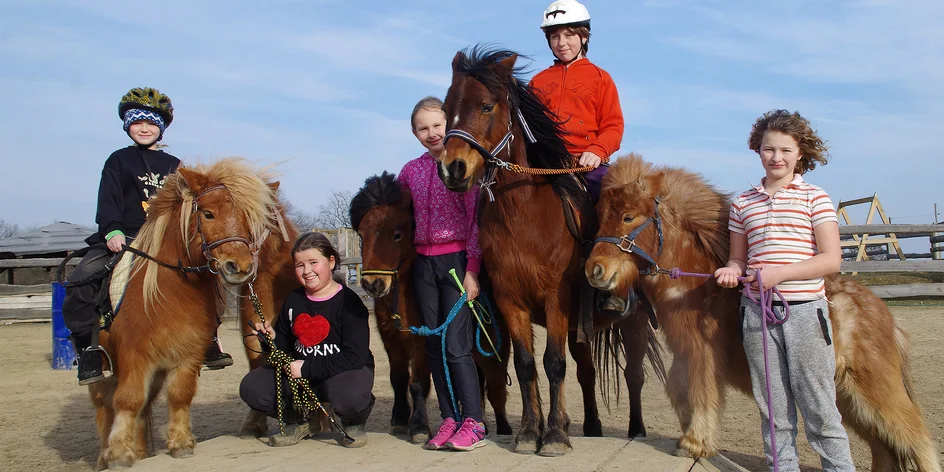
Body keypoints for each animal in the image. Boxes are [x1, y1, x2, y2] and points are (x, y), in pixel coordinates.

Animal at [87, 159, 282, 468]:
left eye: (247, 218)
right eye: (208, 213)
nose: (239, 266)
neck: (169, 295)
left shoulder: (188, 355)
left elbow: (180, 395)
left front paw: (180, 443)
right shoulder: (134, 355)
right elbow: (128, 399)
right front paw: (118, 453)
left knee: (144, 407)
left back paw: (141, 451)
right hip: (105, 372)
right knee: (106, 407)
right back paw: (105, 456)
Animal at [348, 172, 512, 442]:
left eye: (397, 234)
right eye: (361, 235)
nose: (373, 284)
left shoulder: (423, 341)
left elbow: (418, 383)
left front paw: (419, 427)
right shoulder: (391, 339)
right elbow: (398, 378)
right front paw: (400, 420)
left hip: (492, 350)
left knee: (496, 388)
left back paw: (503, 430)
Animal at [434, 47, 660, 454]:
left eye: (487, 106)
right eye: (446, 108)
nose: (452, 169)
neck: (524, 215)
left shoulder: (556, 298)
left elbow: (553, 364)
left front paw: (553, 435)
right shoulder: (511, 301)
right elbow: (526, 365)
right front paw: (529, 432)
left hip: (631, 321)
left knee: (633, 374)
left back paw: (635, 430)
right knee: (586, 372)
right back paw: (591, 426)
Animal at [588, 153, 940, 470]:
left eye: (628, 217)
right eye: (601, 217)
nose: (595, 270)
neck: (698, 286)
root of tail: (884, 315)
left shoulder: (702, 352)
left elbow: (701, 389)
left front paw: (695, 442)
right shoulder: (684, 352)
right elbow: (677, 389)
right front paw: (691, 437)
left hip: (874, 391)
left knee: (916, 439)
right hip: (847, 398)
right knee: (884, 448)